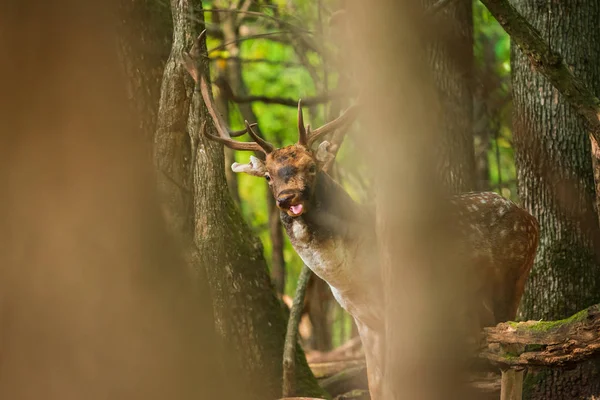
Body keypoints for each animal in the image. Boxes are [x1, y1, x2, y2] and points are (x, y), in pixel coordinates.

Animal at [182, 32, 540, 398]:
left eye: (311, 167)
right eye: (268, 176)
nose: (287, 198)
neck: (352, 276)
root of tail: (531, 217)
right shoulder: (364, 320)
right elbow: (376, 386)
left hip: (511, 279)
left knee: (513, 356)